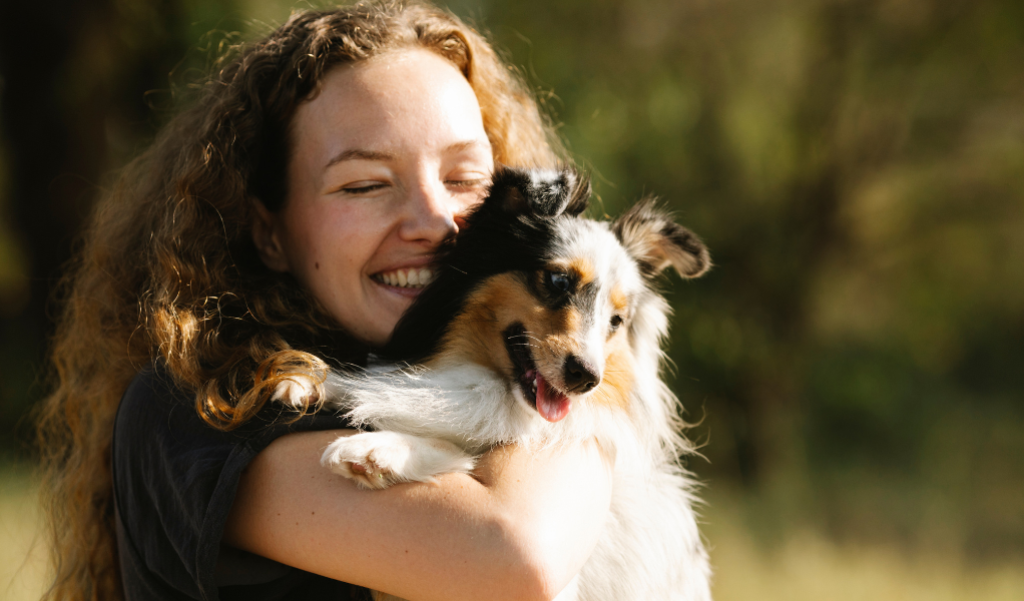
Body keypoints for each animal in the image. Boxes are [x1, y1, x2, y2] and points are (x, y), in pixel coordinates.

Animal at [278, 167, 712, 601]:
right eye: (558, 280)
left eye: (616, 321)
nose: (587, 378)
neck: (492, 387)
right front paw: (312, 380)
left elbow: (457, 445)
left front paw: (377, 450)